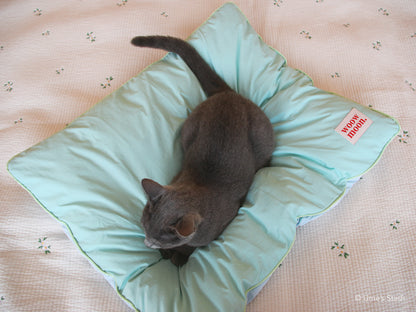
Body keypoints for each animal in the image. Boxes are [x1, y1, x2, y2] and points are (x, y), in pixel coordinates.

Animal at [130, 36, 274, 266]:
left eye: (160, 239)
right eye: (144, 227)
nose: (147, 243)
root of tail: (227, 94)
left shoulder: (220, 225)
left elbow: (190, 246)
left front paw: (179, 256)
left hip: (261, 136)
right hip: (189, 130)